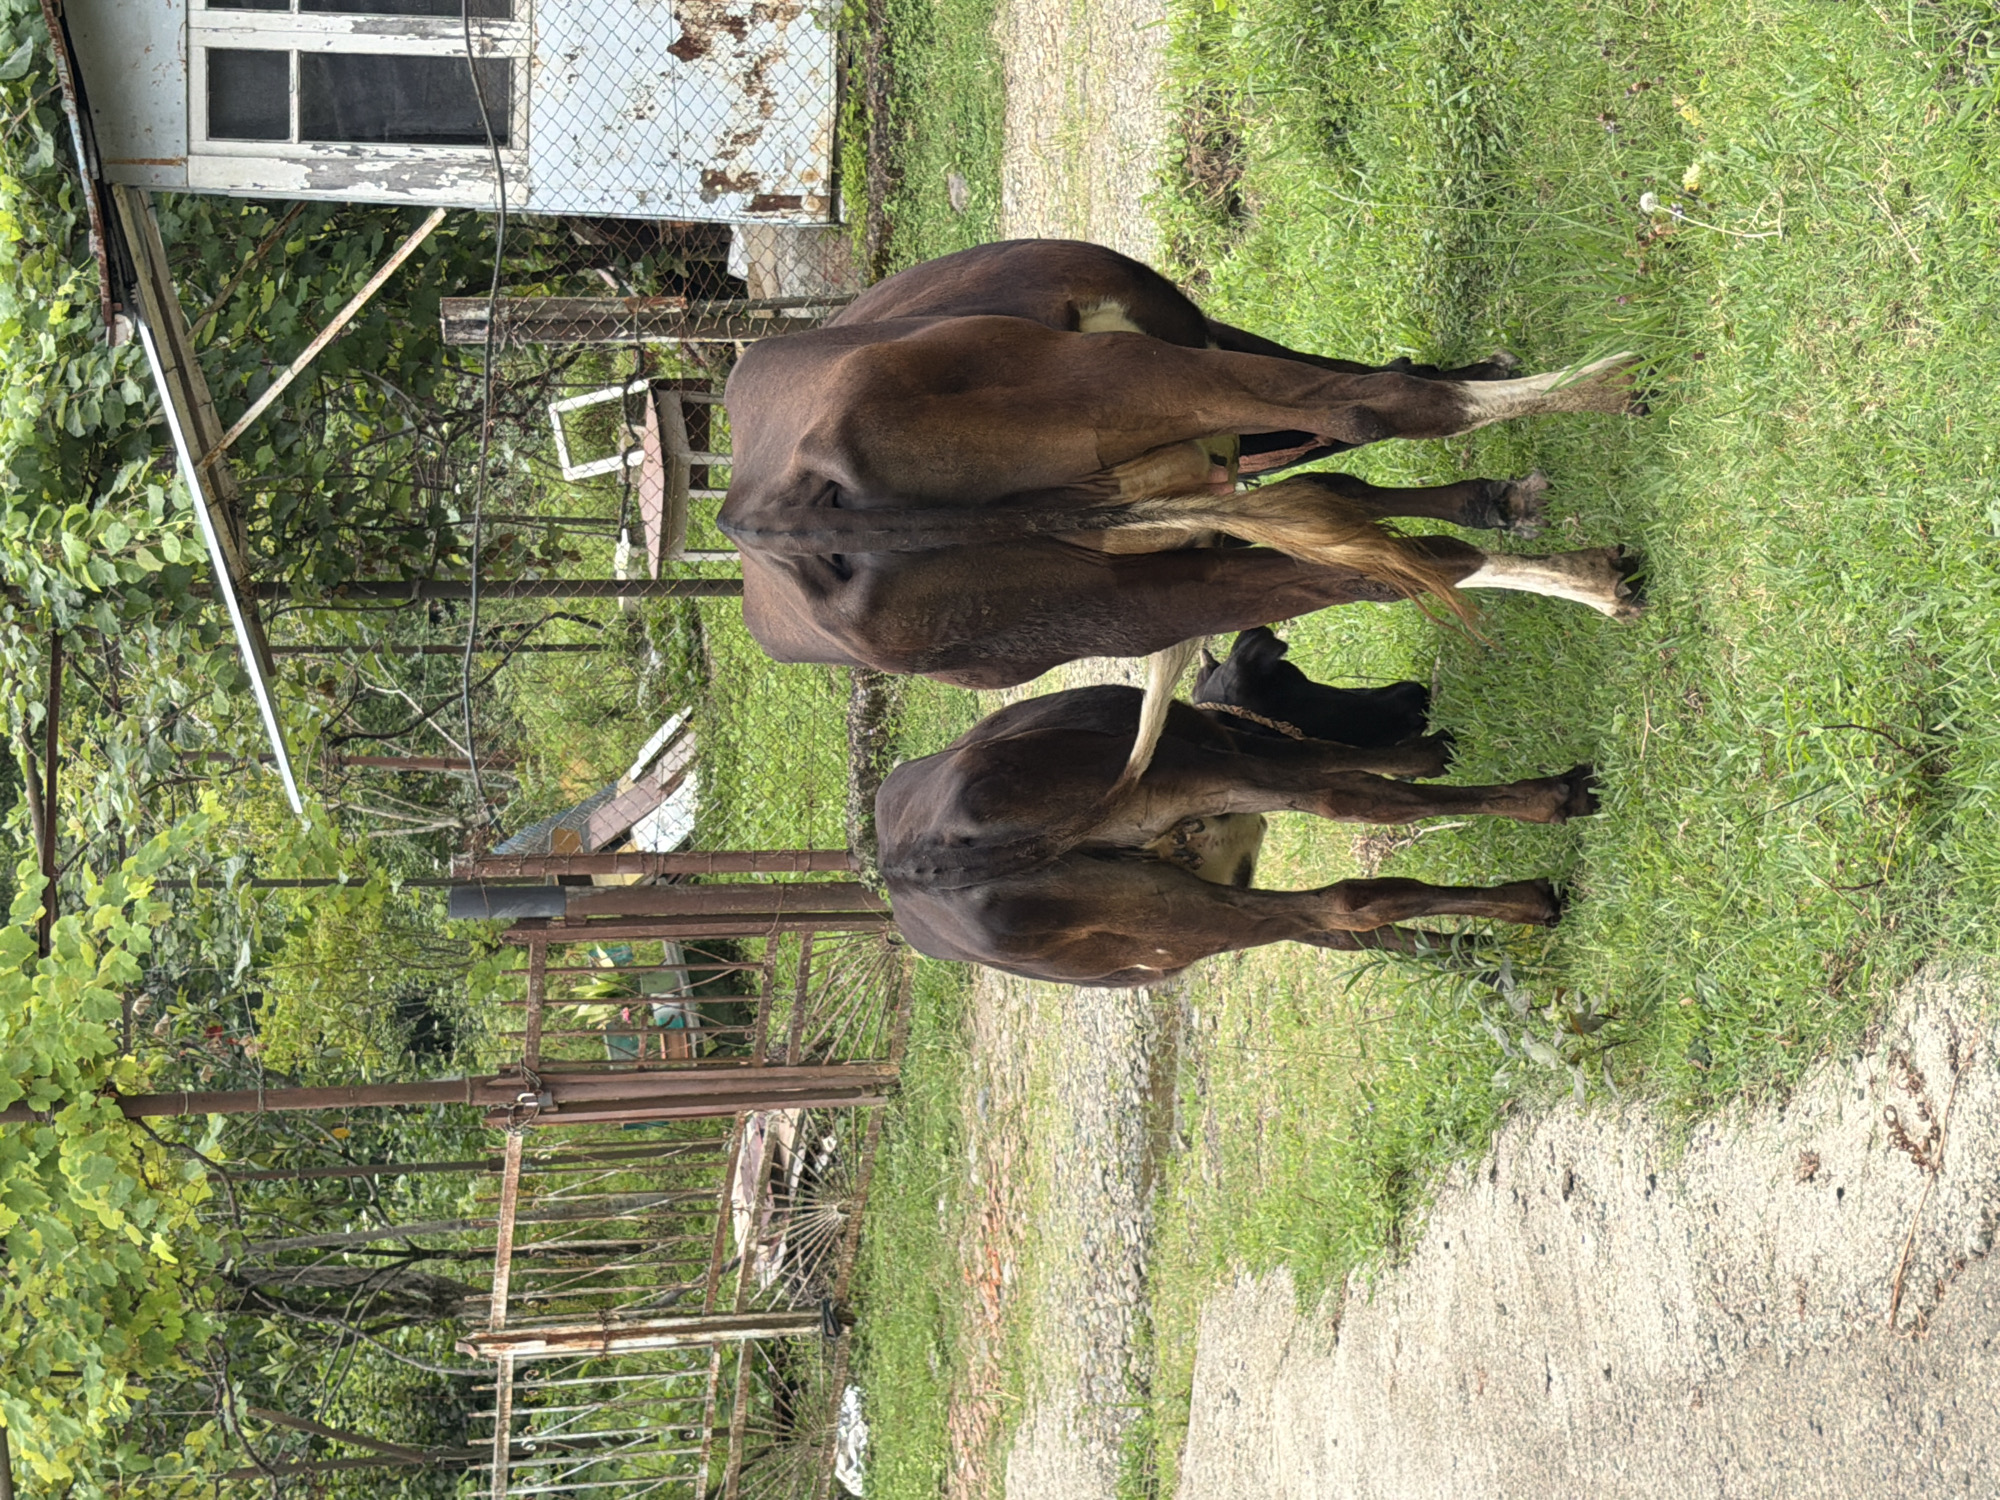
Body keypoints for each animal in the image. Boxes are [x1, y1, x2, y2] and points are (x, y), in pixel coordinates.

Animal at [718, 238, 1645, 706]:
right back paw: (1610, 390)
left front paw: (1492, 497)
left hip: (1127, 607)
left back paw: (1590, 573)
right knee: (1374, 410)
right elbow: (1355, 417)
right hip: (1142, 377)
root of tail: (773, 516)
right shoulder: (1203, 348)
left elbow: (1334, 489)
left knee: (1374, 570)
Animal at [875, 628, 1592, 987]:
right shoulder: (1262, 761)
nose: (1411, 693)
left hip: (1177, 923)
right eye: (1295, 678)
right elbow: (1362, 778)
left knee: (1340, 910)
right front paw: (1434, 750)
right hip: (1200, 776)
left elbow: (1360, 938)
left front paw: (1479, 963)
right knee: (1351, 848)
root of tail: (916, 864)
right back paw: (1551, 818)